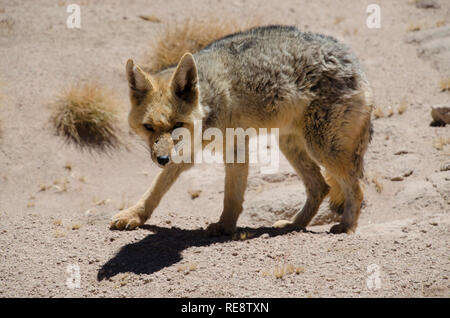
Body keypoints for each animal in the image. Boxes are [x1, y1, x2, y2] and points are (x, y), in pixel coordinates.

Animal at [110, 25, 374, 236]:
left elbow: (231, 194)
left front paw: (224, 226)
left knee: (356, 187)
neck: (209, 101)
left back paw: (346, 226)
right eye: (148, 127)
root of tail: (354, 62)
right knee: (321, 187)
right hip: (290, 145)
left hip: (322, 149)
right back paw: (293, 225)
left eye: (177, 125)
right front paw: (134, 214)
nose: (162, 159)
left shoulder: (235, 146)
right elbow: (156, 188)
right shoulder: (187, 153)